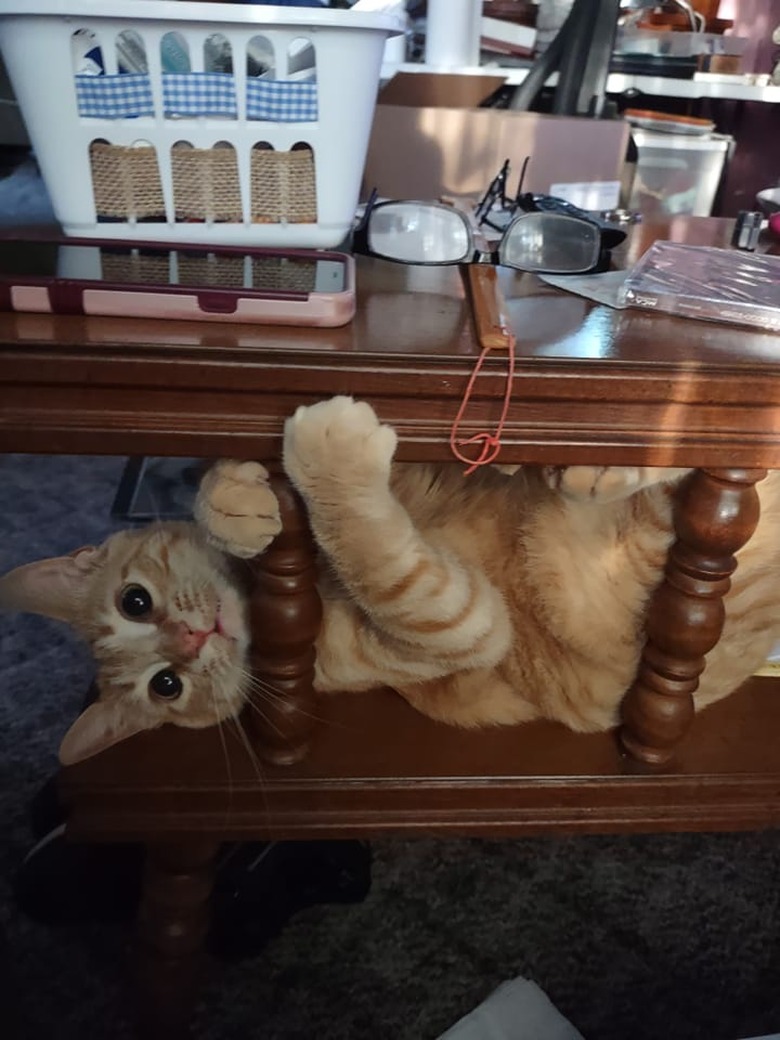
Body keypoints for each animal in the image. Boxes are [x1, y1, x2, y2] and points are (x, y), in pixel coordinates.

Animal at [4, 397, 780, 765]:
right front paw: (323, 459)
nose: (194, 638)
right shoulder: (453, 628)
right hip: (614, 574)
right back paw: (603, 469)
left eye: (135, 601)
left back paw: (591, 462)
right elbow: (380, 562)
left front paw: (236, 503)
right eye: (167, 686)